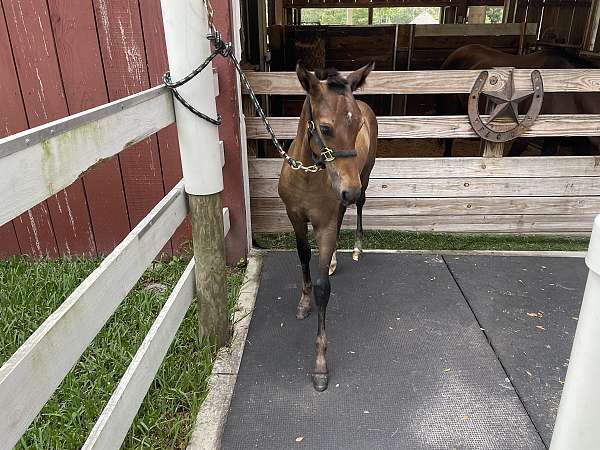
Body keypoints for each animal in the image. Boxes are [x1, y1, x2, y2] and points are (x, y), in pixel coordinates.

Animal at [278, 61, 378, 392]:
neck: (308, 175)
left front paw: (320, 365)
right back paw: (334, 259)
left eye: (357, 126)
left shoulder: (324, 225)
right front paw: (304, 302)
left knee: (356, 208)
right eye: (324, 128)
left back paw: (356, 248)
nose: (350, 189)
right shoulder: (295, 217)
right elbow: (303, 257)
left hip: (365, 175)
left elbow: (324, 288)